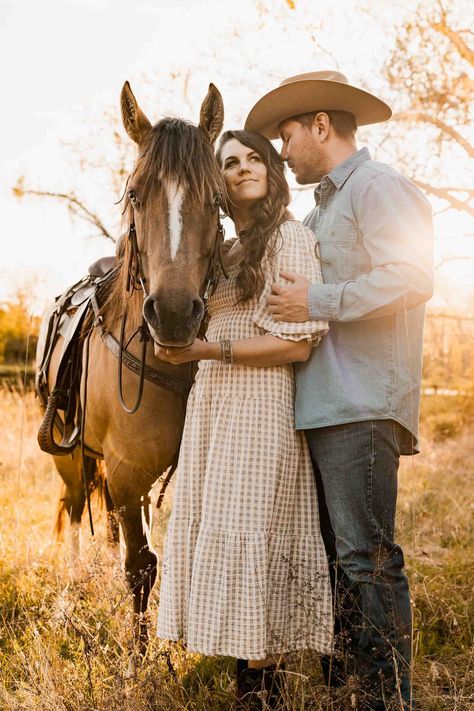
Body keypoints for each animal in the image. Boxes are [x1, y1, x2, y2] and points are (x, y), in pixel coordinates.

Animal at [36, 80, 225, 648]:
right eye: (137, 194)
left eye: (216, 198)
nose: (174, 315)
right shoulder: (124, 474)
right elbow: (141, 566)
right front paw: (141, 658)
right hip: (72, 459)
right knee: (75, 507)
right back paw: (75, 576)